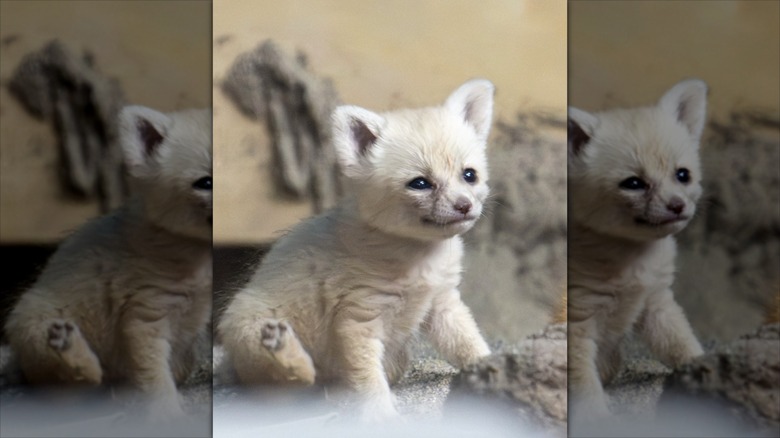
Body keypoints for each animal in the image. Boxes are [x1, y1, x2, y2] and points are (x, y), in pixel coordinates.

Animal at [4, 106, 213, 420]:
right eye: (206, 183)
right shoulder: (144, 317)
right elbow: (157, 377)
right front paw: (168, 416)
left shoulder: (187, 332)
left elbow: (171, 371)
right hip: (31, 320)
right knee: (68, 389)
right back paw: (72, 354)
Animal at [218, 79, 495, 421]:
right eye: (420, 183)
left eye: (470, 175)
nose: (465, 206)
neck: (420, 256)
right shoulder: (358, 318)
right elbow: (369, 379)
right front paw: (383, 418)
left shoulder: (443, 304)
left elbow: (468, 343)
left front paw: (494, 370)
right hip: (247, 328)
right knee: (290, 385)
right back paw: (285, 352)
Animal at [566, 79, 708, 419]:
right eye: (633, 183)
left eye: (682, 175)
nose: (677, 206)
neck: (633, 259)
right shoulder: (577, 325)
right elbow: (586, 392)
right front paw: (599, 421)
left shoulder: (657, 303)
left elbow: (682, 345)